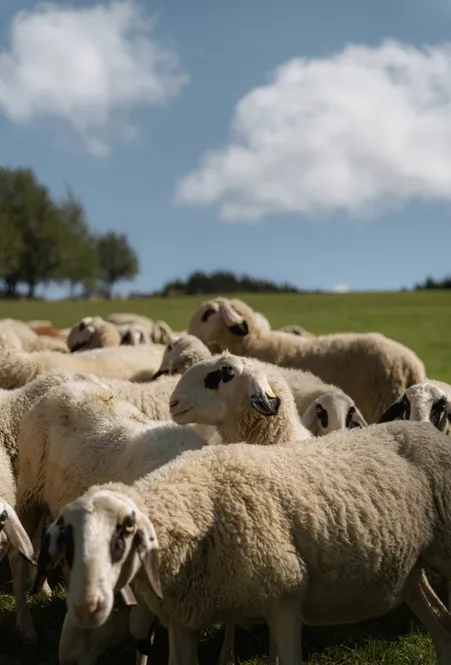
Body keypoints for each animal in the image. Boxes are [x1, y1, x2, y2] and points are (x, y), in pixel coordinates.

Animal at [39, 419, 451, 665]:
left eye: (123, 534)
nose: (65, 657)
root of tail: (425, 428)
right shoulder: (185, 619)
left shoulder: (284, 601)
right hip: (409, 570)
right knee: (441, 623)